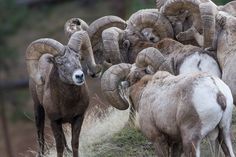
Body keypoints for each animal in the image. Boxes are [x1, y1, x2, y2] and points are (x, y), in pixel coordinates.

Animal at [101, 47, 234, 157]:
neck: (144, 88)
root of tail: (218, 93)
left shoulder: (158, 139)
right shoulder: (176, 142)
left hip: (191, 140)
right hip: (224, 132)